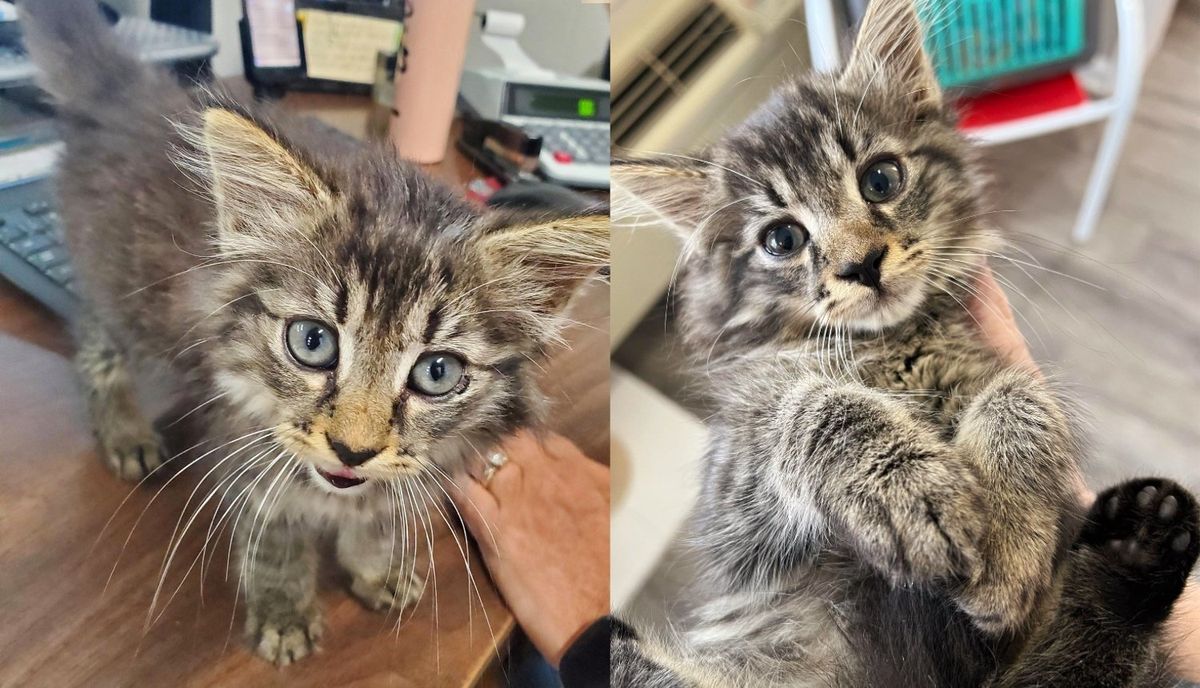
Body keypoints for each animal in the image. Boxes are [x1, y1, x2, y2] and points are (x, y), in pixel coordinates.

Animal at [22, 0, 609, 667]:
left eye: (437, 373)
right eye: (313, 342)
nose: (352, 451)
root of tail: (129, 91)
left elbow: (378, 515)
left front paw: (376, 566)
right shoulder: (245, 447)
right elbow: (273, 536)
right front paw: (283, 611)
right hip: (125, 297)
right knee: (95, 343)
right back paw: (124, 432)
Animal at [614, 1, 1195, 686]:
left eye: (881, 179)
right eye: (782, 239)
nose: (861, 265)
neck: (894, 346)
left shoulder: (996, 366)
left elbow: (1021, 398)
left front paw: (1008, 541)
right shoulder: (732, 496)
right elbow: (810, 407)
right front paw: (906, 489)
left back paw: (1139, 544)